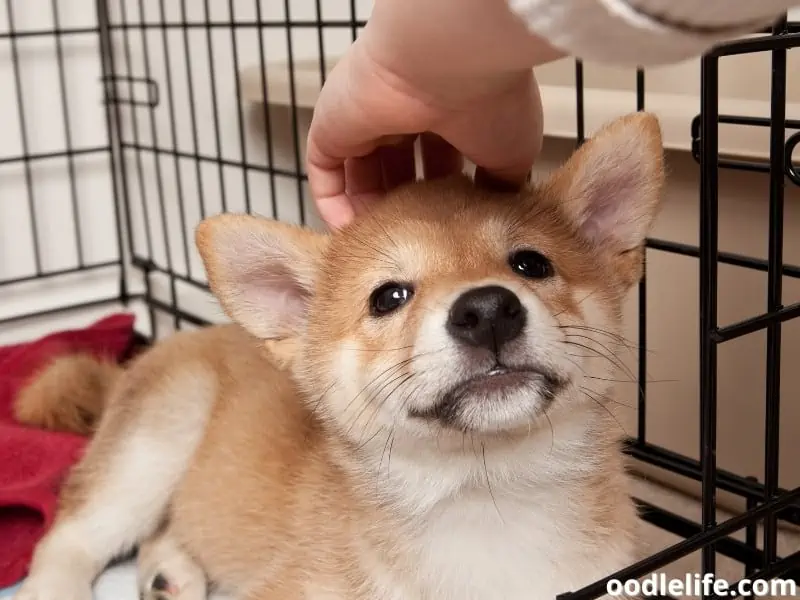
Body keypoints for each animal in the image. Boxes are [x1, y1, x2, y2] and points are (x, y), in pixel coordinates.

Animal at [12, 112, 664, 600]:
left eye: (531, 264)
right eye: (388, 297)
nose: (485, 309)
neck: (492, 501)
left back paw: (169, 574)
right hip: (155, 444)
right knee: (68, 537)